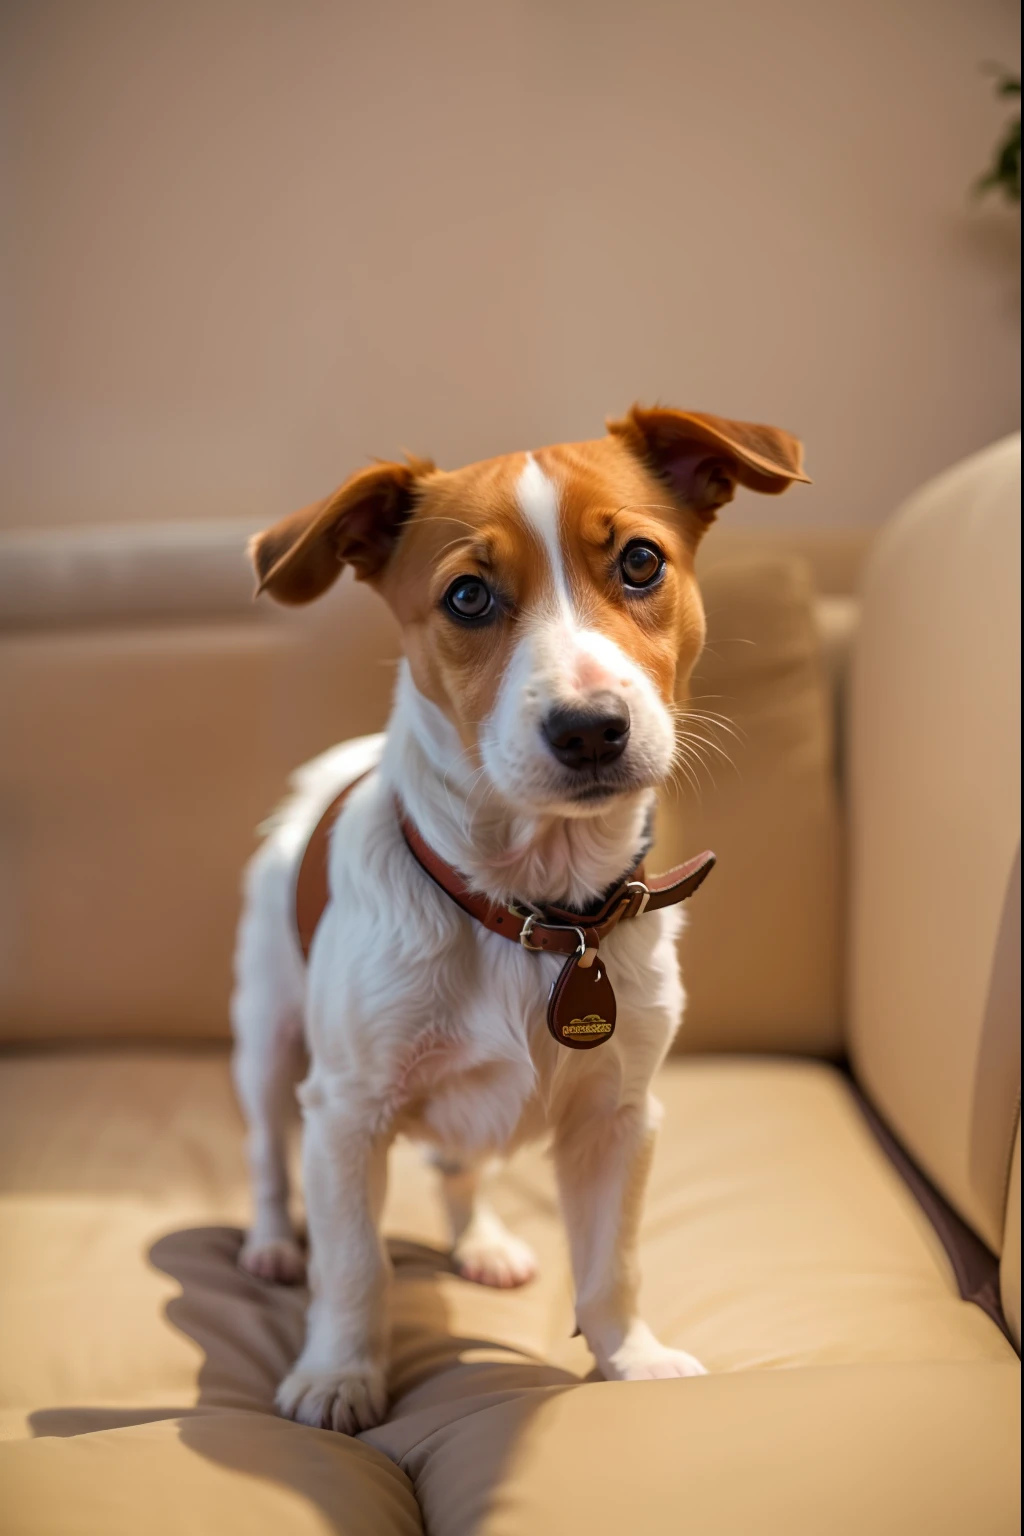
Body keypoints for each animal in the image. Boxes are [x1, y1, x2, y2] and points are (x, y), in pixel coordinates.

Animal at [231, 405, 810, 1425]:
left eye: (641, 562)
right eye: (466, 596)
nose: (590, 729)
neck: (542, 912)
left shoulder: (620, 1117)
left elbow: (613, 1264)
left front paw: (630, 1357)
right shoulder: (346, 1115)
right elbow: (354, 1266)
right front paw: (339, 1372)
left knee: (462, 1169)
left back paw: (484, 1243)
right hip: (268, 1036)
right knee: (268, 1151)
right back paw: (269, 1244)